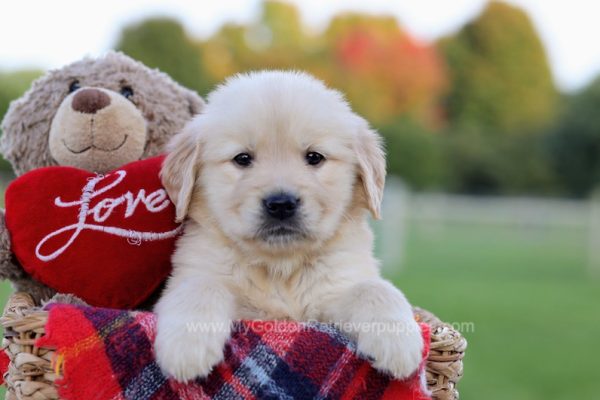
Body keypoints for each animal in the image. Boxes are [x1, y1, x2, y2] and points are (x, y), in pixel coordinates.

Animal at [155, 71, 422, 382]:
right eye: (242, 159)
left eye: (314, 157)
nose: (281, 204)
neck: (280, 269)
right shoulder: (196, 276)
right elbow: (201, 286)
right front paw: (186, 346)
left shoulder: (333, 293)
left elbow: (374, 289)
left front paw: (397, 340)